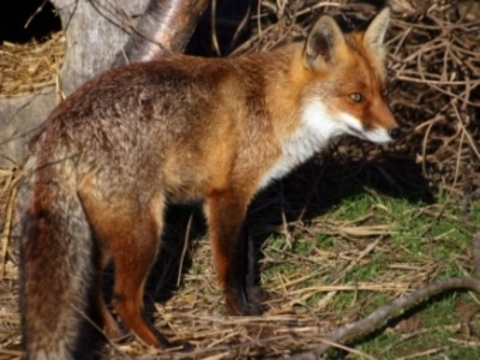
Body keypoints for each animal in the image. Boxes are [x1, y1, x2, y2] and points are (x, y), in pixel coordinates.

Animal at [19, 7, 398, 358]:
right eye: (356, 98)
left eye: (383, 92)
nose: (396, 131)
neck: (272, 106)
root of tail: (57, 124)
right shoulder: (225, 196)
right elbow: (229, 266)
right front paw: (241, 315)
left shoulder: (244, 196)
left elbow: (246, 256)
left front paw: (253, 300)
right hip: (143, 232)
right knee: (123, 297)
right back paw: (163, 344)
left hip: (108, 231)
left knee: (93, 286)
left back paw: (115, 335)